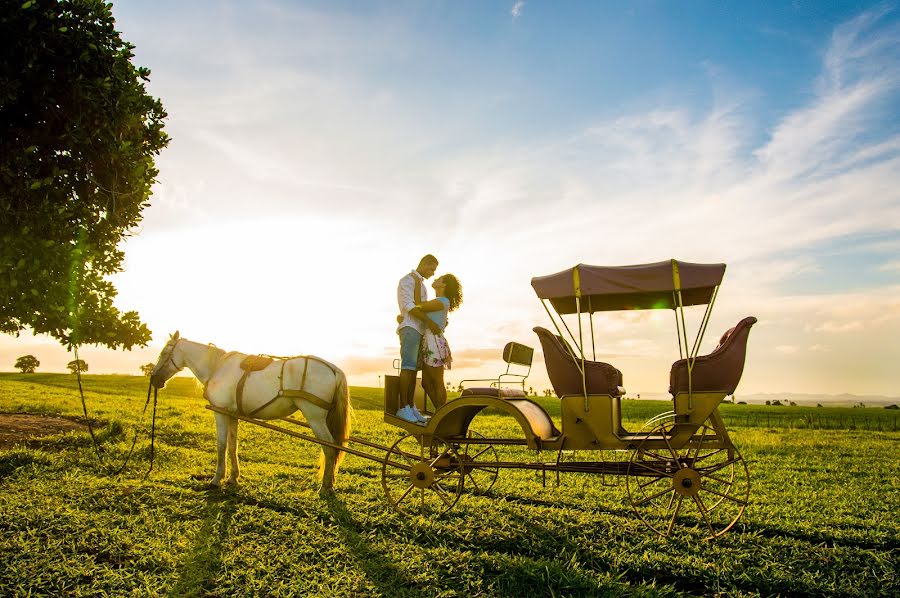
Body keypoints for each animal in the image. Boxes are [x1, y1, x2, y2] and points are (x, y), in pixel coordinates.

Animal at [149, 332, 350, 496]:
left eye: (164, 353)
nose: (154, 380)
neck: (217, 366)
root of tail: (333, 369)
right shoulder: (232, 414)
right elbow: (232, 446)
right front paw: (233, 478)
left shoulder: (220, 412)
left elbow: (221, 445)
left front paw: (216, 480)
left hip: (315, 417)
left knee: (330, 448)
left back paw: (325, 487)